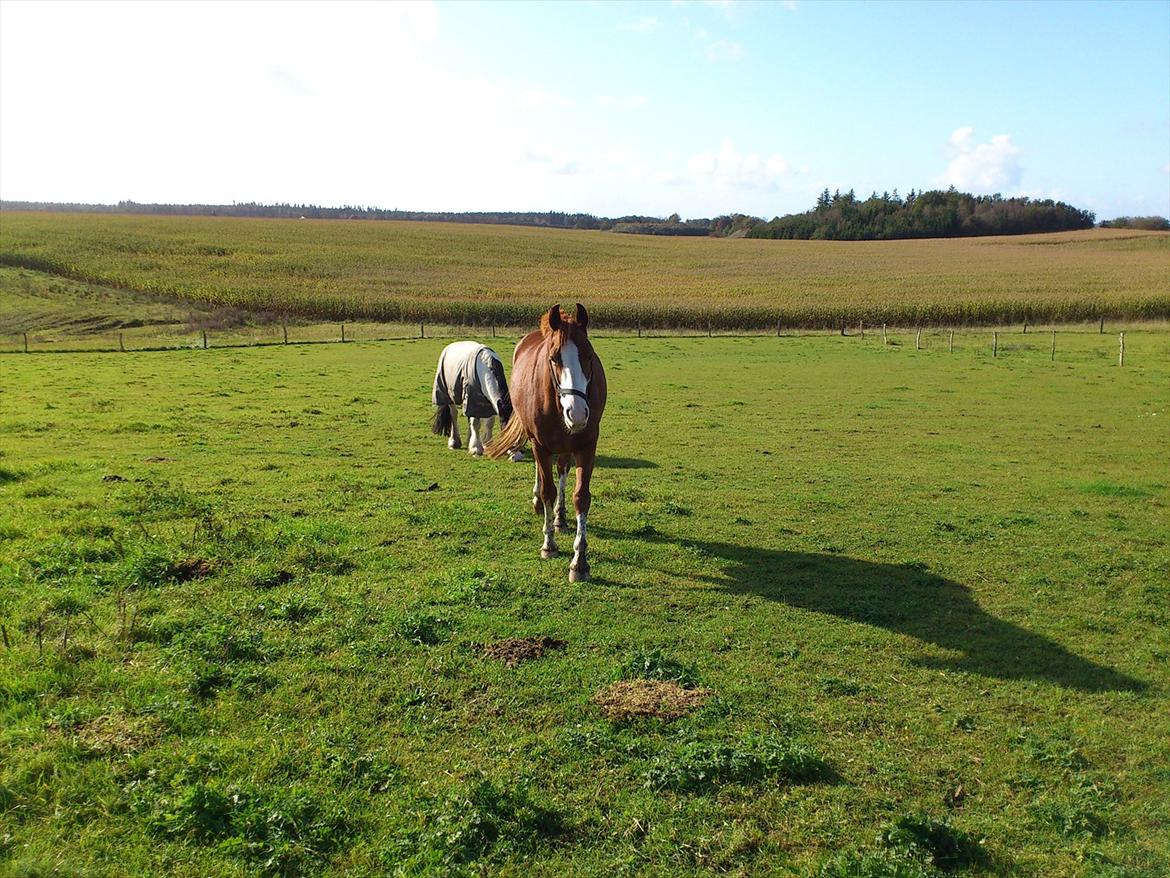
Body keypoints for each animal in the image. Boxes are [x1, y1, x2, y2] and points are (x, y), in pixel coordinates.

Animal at [489, 304, 608, 585]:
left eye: (588, 356)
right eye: (554, 358)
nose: (577, 413)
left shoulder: (587, 445)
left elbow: (580, 497)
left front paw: (579, 562)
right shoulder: (540, 445)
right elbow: (547, 491)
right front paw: (549, 545)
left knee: (562, 470)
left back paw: (560, 518)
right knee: (542, 475)